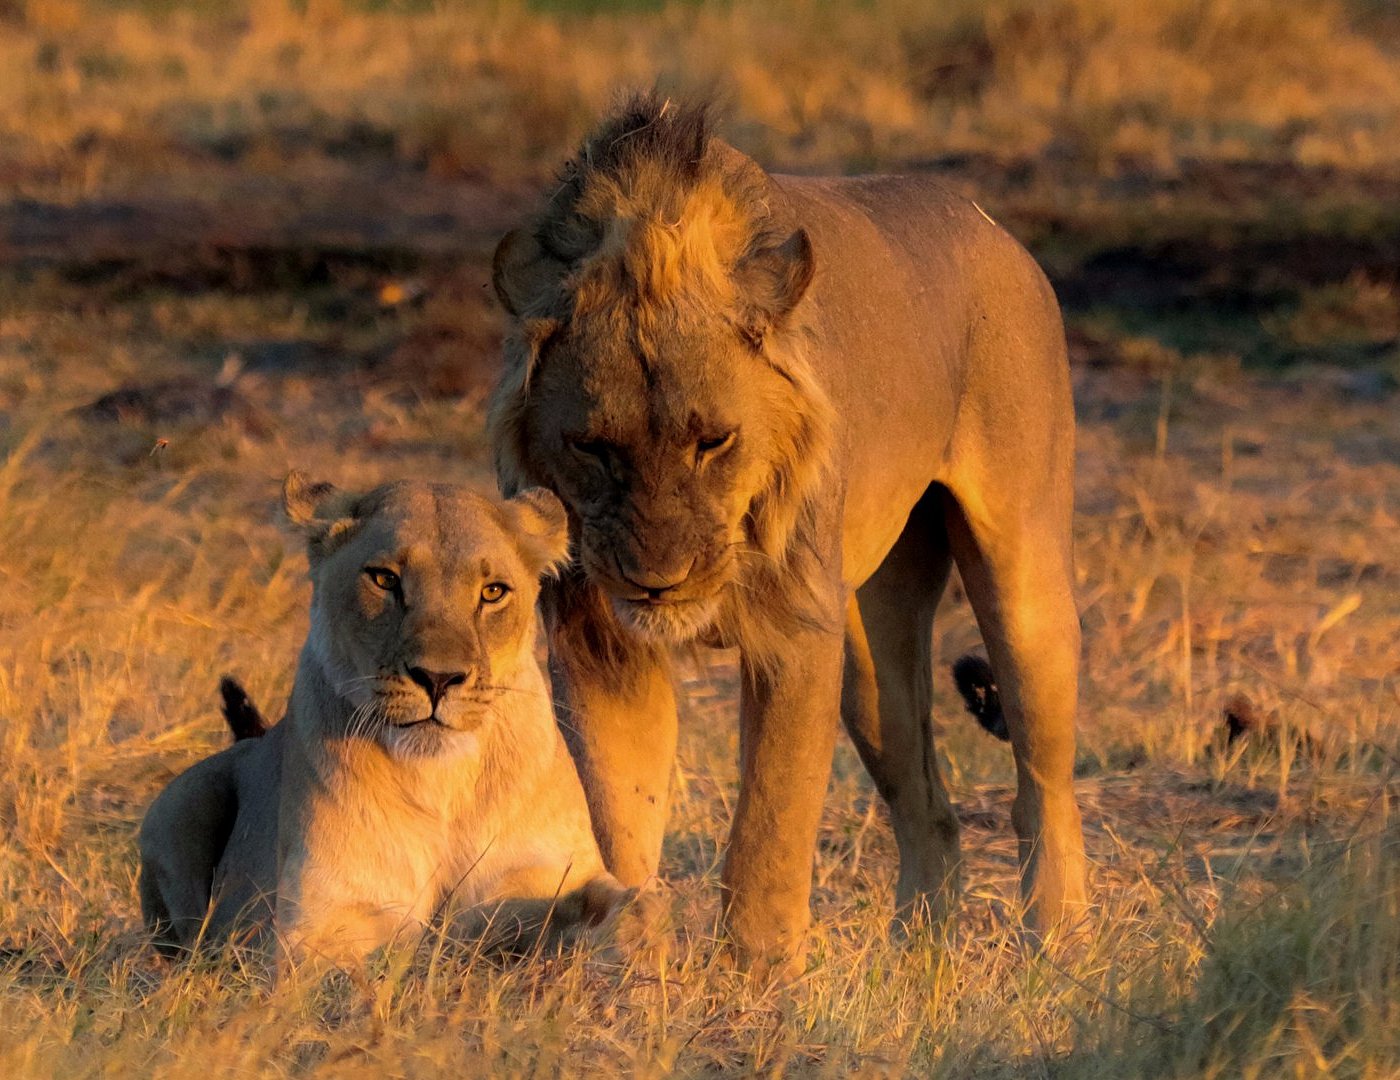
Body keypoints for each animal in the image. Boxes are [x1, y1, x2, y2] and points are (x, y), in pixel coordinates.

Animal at [140, 476, 624, 969]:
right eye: (385, 579)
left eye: (493, 592)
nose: (438, 678)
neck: (444, 782)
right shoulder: (308, 928)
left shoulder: (553, 876)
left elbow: (621, 902)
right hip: (178, 806)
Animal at [487, 97, 1086, 969]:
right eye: (592, 446)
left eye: (714, 441)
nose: (656, 581)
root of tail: (991, 227)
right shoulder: (599, 637)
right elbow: (616, 815)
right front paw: (628, 970)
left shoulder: (796, 631)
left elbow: (769, 829)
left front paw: (759, 981)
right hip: (872, 651)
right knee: (927, 805)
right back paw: (918, 960)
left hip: (1023, 575)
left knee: (1043, 785)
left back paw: (1059, 945)